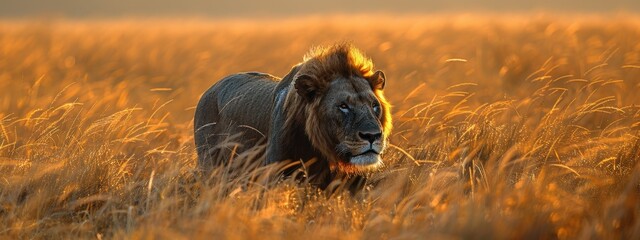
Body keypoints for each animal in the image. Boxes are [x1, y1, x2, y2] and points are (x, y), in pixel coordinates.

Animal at [192, 43, 392, 189]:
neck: (323, 152)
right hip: (211, 166)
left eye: (374, 106)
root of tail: (209, 90)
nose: (372, 135)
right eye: (343, 106)